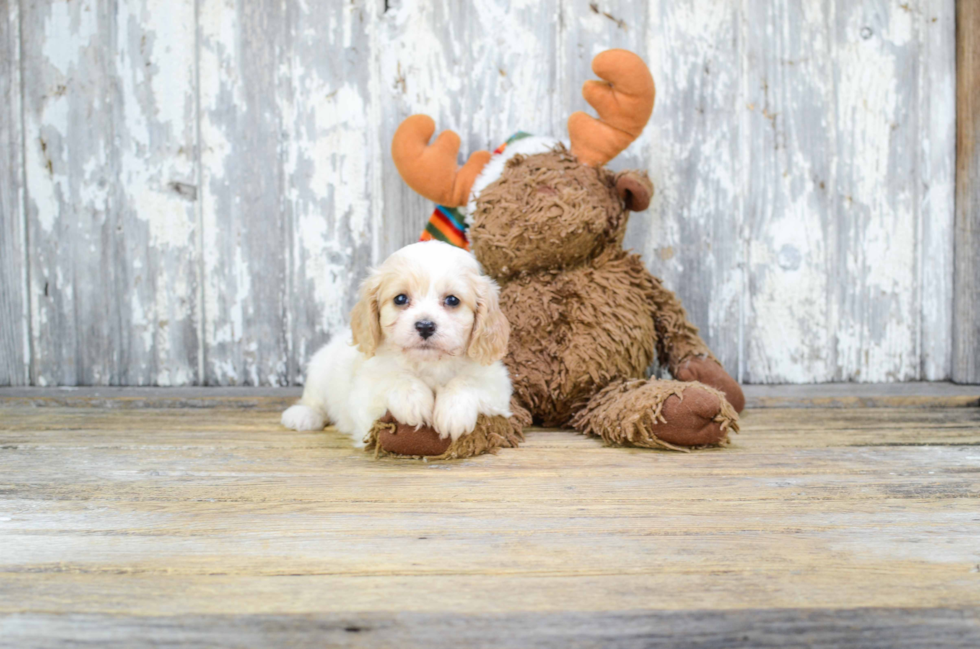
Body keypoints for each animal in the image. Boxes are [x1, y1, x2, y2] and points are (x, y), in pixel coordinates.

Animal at [282, 240, 512, 448]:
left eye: (452, 300)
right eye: (400, 299)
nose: (425, 326)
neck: (429, 364)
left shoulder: (497, 384)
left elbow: (467, 381)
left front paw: (454, 412)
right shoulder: (364, 393)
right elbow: (393, 377)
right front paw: (414, 401)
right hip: (319, 371)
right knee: (314, 400)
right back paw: (302, 415)